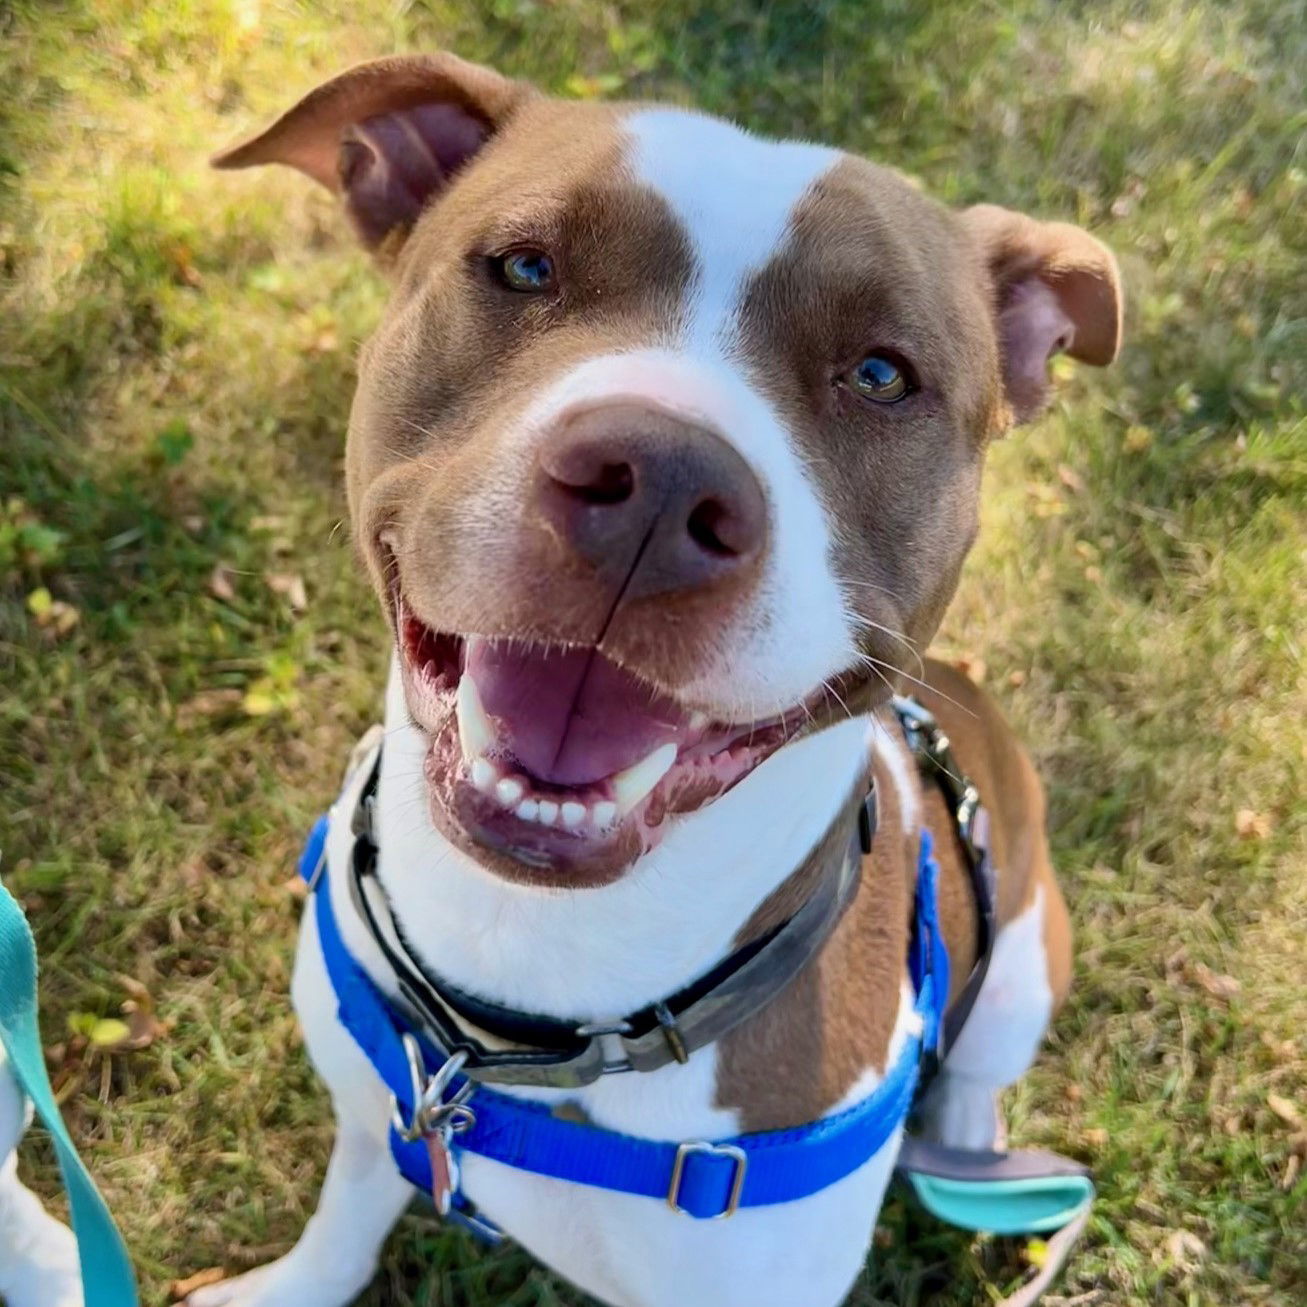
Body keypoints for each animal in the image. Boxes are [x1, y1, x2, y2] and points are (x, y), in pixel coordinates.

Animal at [193, 53, 1124, 1307]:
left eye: (880, 373)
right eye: (523, 266)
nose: (660, 483)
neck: (524, 1005)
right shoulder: (371, 1107)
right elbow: (345, 1213)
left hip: (1024, 958)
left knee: (981, 1059)